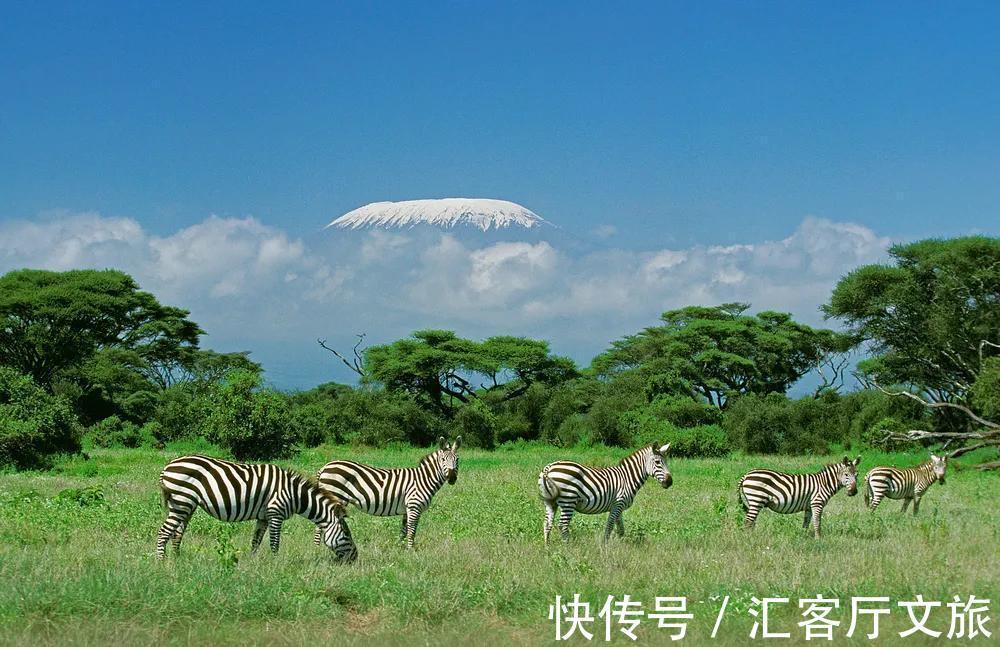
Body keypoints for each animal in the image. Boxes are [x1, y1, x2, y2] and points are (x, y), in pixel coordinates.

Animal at [158, 456, 358, 560]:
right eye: (347, 534)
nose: (355, 558)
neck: (294, 494)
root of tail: (167, 466)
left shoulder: (263, 517)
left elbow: (256, 541)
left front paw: (253, 564)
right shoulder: (275, 512)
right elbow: (274, 543)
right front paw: (275, 565)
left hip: (186, 504)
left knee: (177, 532)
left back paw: (177, 559)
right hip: (182, 500)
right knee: (164, 531)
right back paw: (161, 561)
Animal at [314, 438, 462, 548]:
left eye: (457, 460)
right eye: (443, 460)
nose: (452, 478)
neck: (423, 480)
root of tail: (325, 466)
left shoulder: (407, 509)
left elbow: (404, 530)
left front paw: (400, 548)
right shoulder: (414, 506)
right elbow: (412, 530)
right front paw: (410, 550)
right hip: (335, 495)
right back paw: (318, 549)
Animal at [536, 442, 676, 544]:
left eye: (666, 462)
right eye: (657, 462)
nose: (670, 482)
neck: (627, 477)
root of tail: (549, 468)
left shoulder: (619, 507)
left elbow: (621, 529)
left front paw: (620, 545)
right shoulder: (618, 504)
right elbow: (609, 527)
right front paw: (605, 546)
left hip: (550, 502)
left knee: (547, 524)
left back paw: (547, 547)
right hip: (568, 501)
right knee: (562, 525)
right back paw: (568, 547)